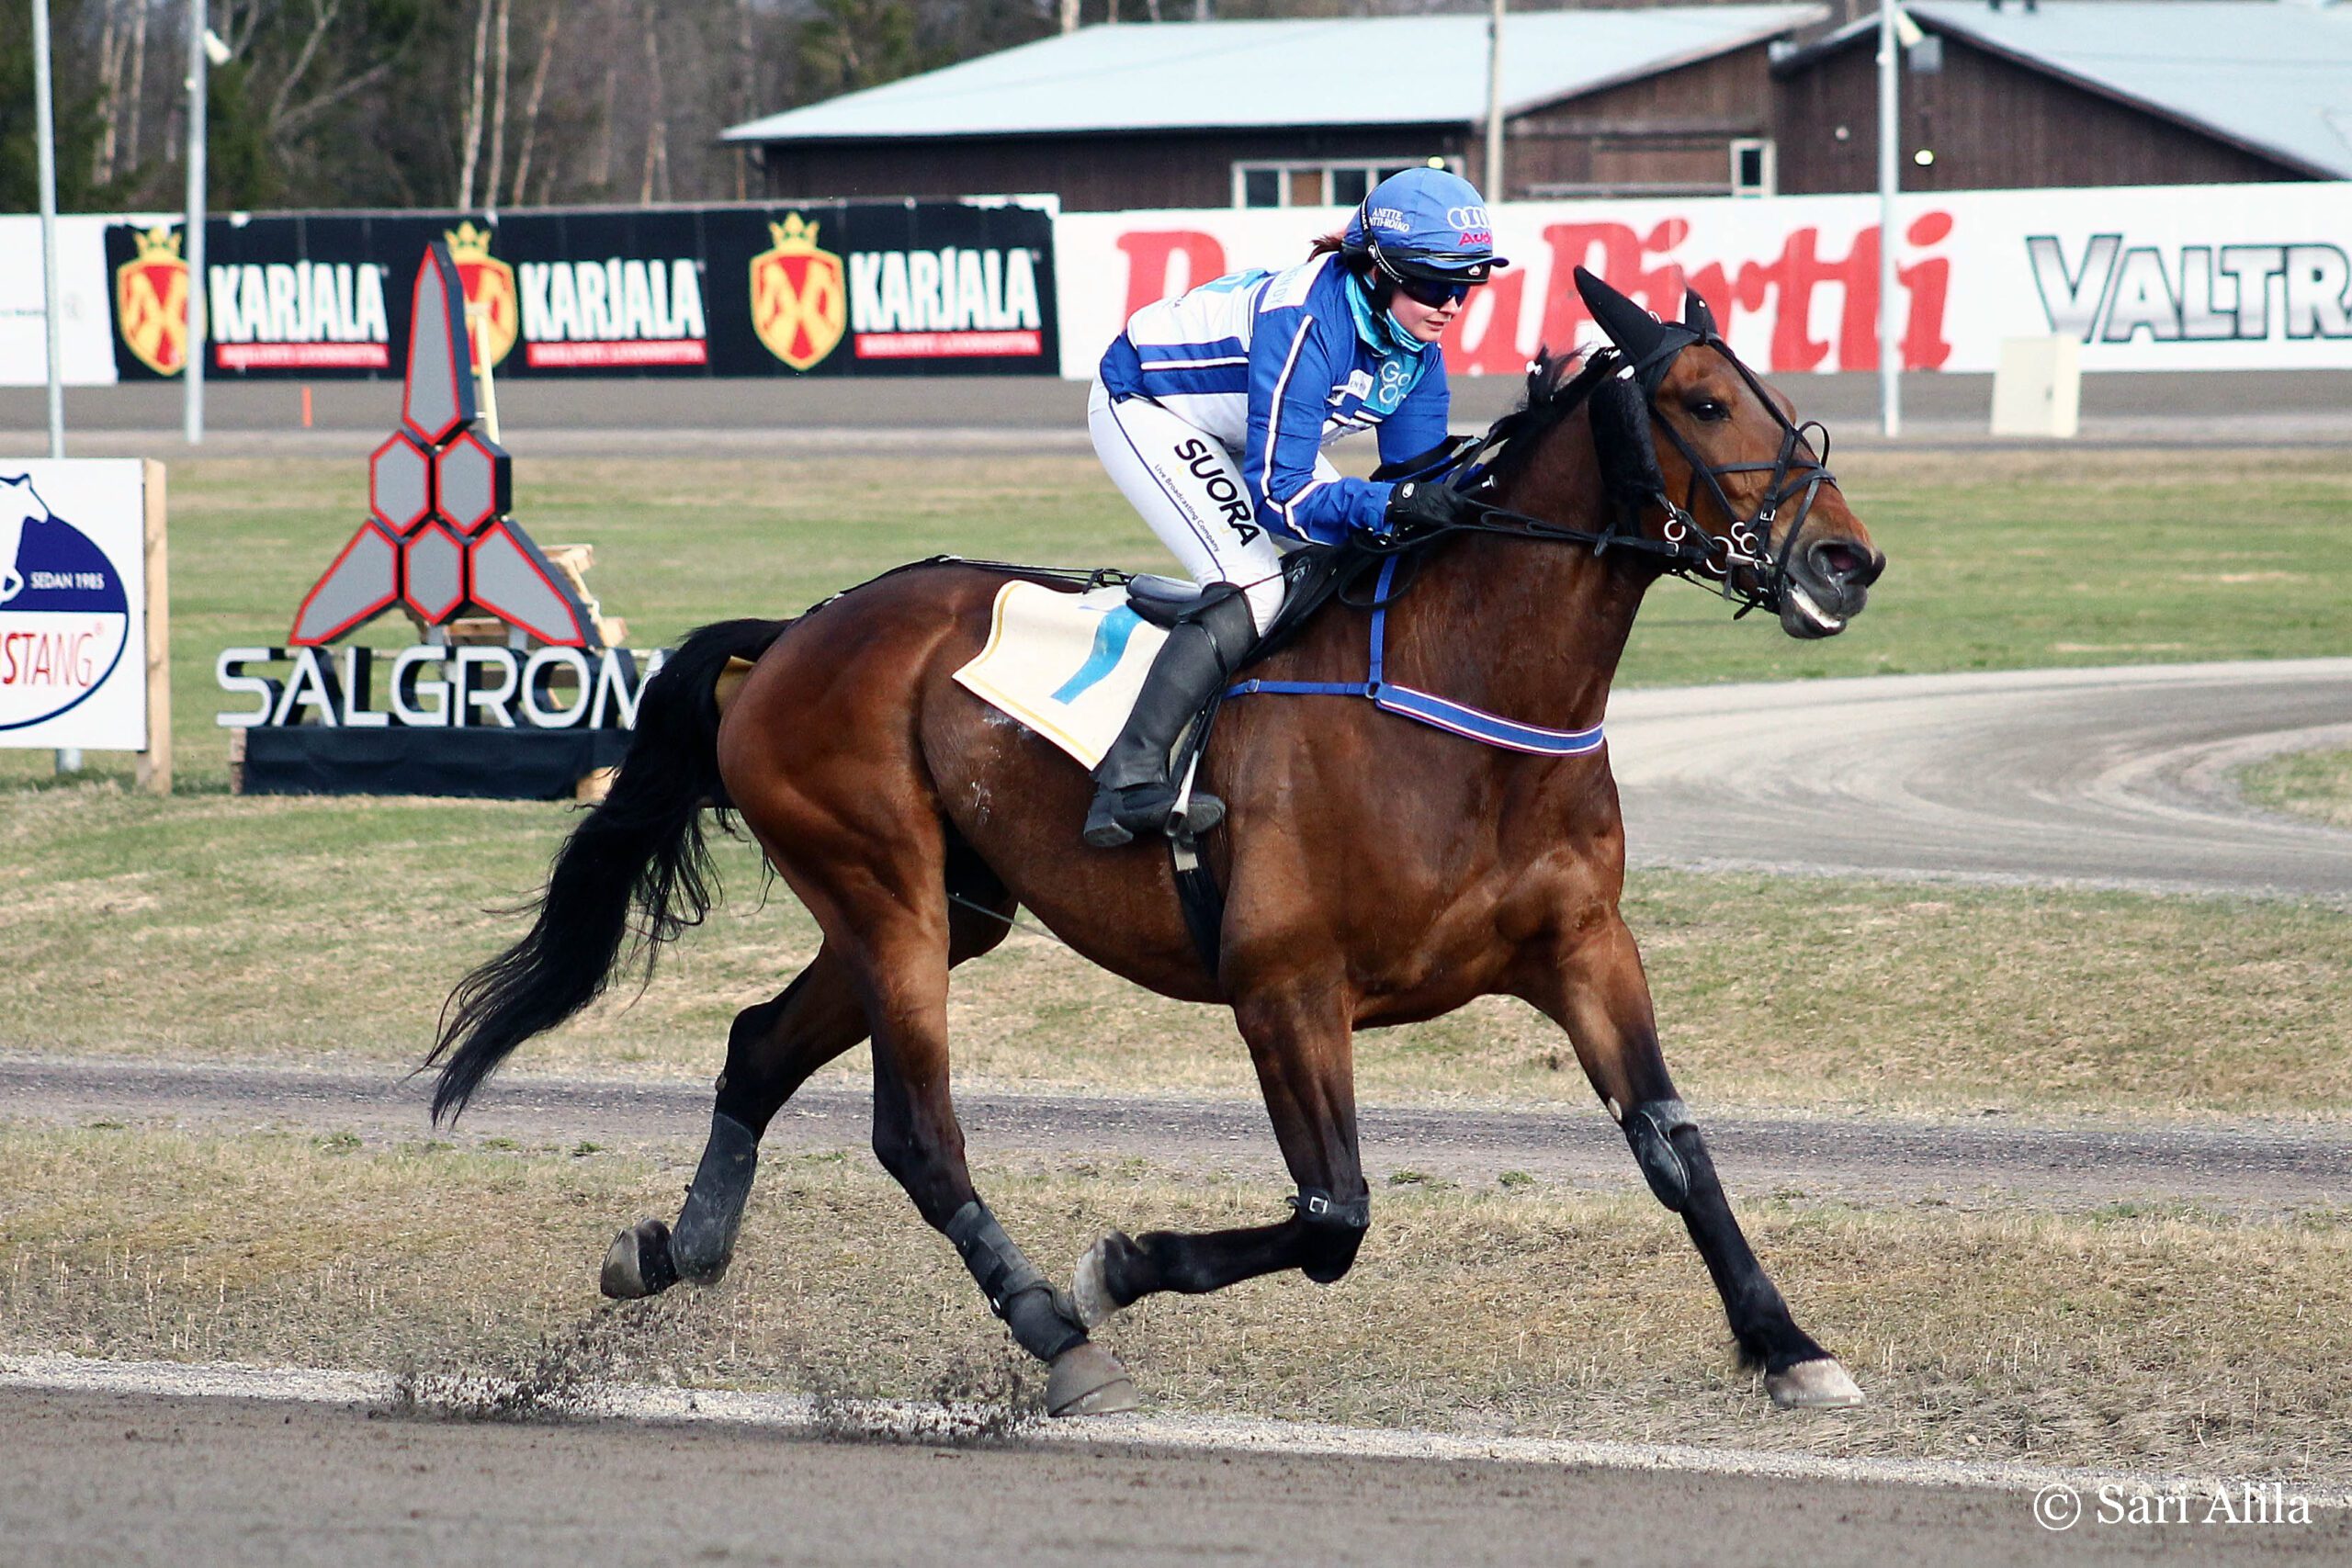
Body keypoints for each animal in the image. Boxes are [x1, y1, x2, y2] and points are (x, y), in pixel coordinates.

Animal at [428, 268, 1886, 1417]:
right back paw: (1054, 1332)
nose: (1845, 561)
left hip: (947, 909)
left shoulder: (1584, 946)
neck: (1462, 696)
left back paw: (673, 1249)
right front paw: (1117, 1269)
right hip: (886, 894)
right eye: (1703, 403)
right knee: (919, 1136)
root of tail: (794, 631)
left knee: (756, 1046)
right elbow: (1335, 1215)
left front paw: (1787, 1344)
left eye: (1770, 391)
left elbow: (1674, 1149)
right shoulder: (1284, 985)